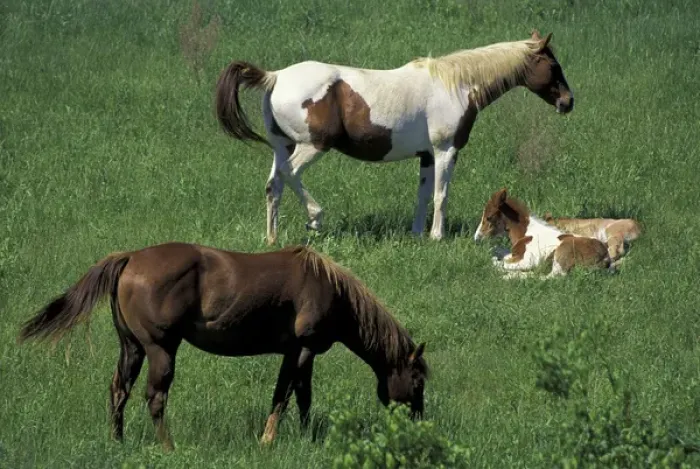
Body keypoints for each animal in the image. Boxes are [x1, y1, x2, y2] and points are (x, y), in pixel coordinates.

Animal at [18, 242, 428, 451]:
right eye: (418, 381)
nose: (418, 422)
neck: (330, 290)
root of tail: (130, 258)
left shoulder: (296, 353)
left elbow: (297, 395)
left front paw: (303, 436)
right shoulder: (303, 349)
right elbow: (289, 395)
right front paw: (273, 440)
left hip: (132, 348)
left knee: (119, 389)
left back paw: (117, 443)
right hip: (161, 349)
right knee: (155, 398)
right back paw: (169, 448)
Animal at [215, 30, 574, 245]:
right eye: (553, 66)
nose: (568, 102)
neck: (455, 85)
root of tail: (274, 77)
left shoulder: (427, 156)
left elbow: (423, 195)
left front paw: (417, 234)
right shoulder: (446, 151)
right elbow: (441, 195)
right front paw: (437, 236)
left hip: (282, 146)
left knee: (274, 186)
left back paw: (272, 239)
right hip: (311, 146)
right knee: (291, 174)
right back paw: (315, 219)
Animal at [473, 188, 612, 279]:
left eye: (488, 217)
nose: (477, 238)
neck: (526, 233)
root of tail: (605, 257)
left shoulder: (528, 260)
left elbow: (498, 263)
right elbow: (500, 254)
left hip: (562, 253)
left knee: (549, 277)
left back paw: (510, 276)